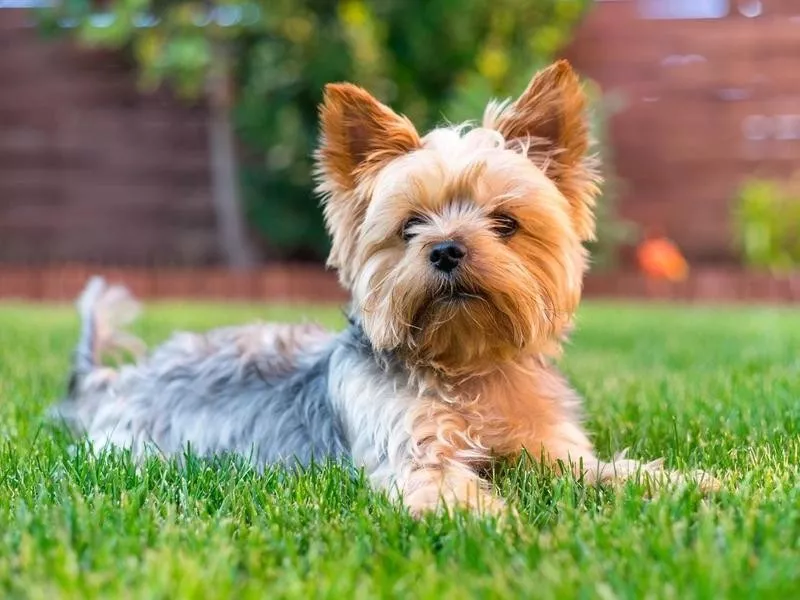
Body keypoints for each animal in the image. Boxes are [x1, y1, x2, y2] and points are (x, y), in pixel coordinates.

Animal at [56, 61, 720, 512]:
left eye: (506, 223)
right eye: (410, 226)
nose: (446, 248)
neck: (467, 367)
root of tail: (114, 380)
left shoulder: (550, 449)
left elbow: (603, 470)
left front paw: (686, 483)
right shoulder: (416, 453)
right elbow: (452, 492)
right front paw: (502, 527)